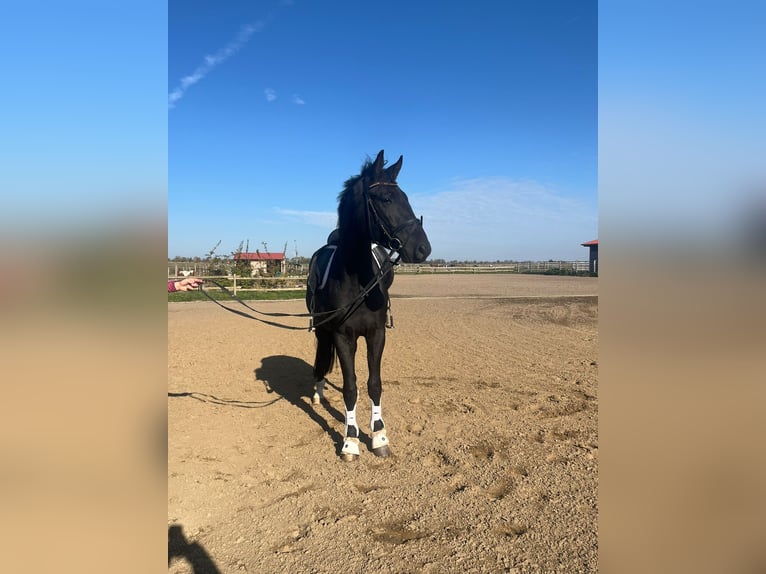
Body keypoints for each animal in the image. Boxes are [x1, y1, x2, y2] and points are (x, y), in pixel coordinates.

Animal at [308, 152, 432, 464]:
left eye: (405, 196)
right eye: (386, 199)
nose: (423, 248)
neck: (356, 281)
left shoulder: (377, 334)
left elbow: (374, 384)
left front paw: (379, 437)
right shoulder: (343, 336)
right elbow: (351, 387)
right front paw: (350, 442)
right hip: (322, 331)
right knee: (321, 357)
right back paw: (317, 392)